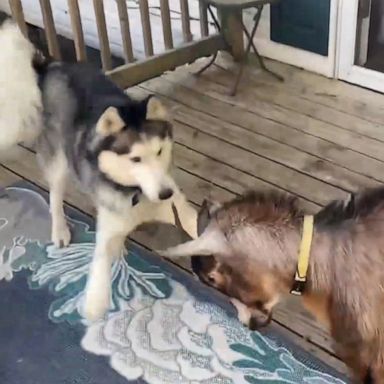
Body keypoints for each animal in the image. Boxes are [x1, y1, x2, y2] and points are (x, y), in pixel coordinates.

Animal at [0, 20, 196, 320]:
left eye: (160, 152)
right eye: (135, 159)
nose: (165, 194)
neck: (135, 193)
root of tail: (54, 65)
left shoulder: (175, 203)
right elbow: (100, 258)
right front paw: (95, 300)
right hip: (59, 162)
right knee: (55, 197)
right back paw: (60, 229)